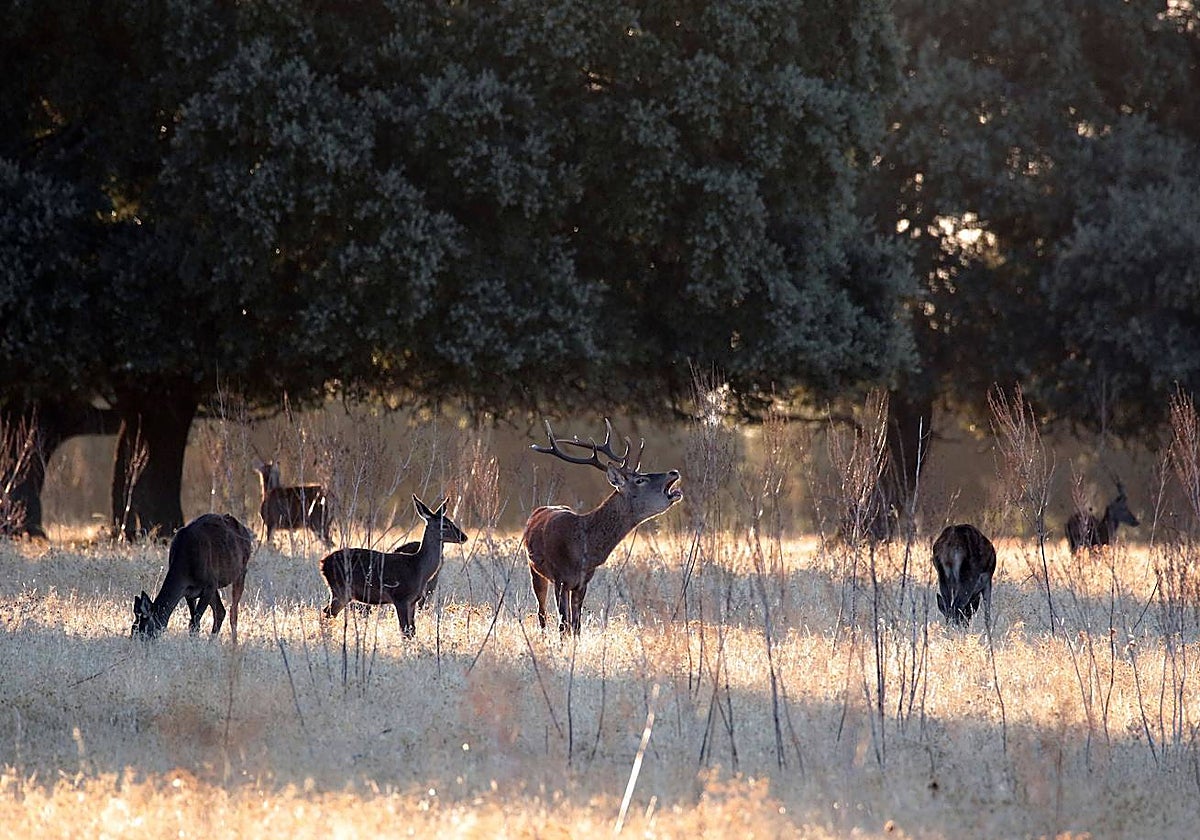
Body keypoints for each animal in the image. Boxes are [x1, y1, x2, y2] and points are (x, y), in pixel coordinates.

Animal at [131, 513, 256, 642]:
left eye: (144, 629)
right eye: (133, 628)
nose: (136, 643)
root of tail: (246, 532)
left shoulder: (209, 585)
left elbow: (195, 622)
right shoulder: (188, 591)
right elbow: (195, 623)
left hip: (241, 571)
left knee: (233, 611)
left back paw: (234, 643)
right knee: (221, 611)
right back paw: (211, 642)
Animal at [319, 495, 467, 638]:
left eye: (451, 522)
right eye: (445, 525)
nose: (464, 537)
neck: (418, 568)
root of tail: (323, 564)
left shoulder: (413, 601)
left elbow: (412, 630)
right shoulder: (400, 597)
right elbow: (404, 630)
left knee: (326, 612)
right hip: (341, 590)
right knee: (326, 613)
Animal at [524, 418, 683, 635]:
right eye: (640, 480)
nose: (673, 471)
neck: (582, 549)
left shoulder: (583, 582)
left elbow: (576, 626)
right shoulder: (560, 578)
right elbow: (563, 626)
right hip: (535, 571)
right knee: (541, 613)